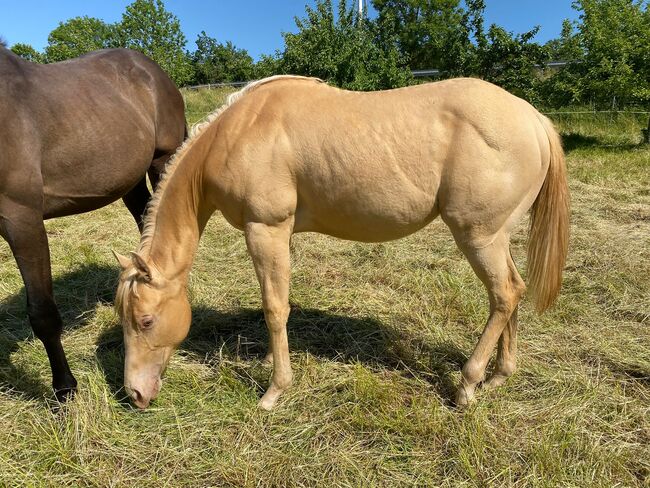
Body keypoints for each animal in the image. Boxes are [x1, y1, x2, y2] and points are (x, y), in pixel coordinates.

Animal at [0, 46, 187, 400]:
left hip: (163, 159)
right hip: (130, 180)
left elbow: (42, 313)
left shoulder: (22, 220)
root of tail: (150, 67)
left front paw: (64, 389)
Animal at [112, 76, 568, 410]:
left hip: (479, 237)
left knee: (504, 294)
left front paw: (274, 390)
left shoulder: (265, 229)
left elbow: (274, 307)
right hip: (497, 238)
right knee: (512, 291)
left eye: (146, 321)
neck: (241, 131)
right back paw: (498, 376)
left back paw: (467, 385)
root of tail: (535, 120)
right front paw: (270, 359)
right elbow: (280, 303)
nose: (134, 394)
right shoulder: (281, 235)